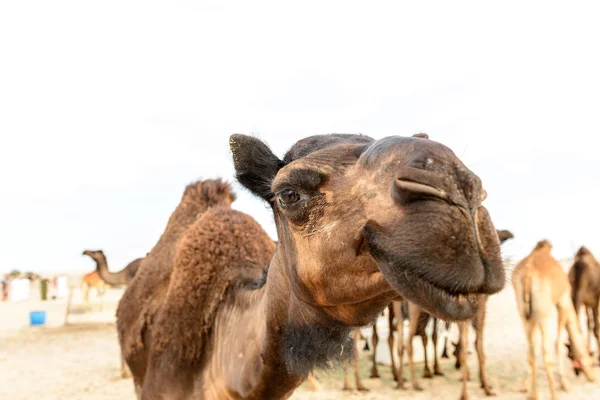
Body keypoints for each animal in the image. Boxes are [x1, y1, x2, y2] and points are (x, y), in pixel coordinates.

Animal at [510, 241, 596, 400]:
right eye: (591, 362)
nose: (593, 377)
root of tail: (527, 276)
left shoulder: (532, 316)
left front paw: (525, 386)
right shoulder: (563, 302)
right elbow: (558, 342)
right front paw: (564, 385)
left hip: (524, 312)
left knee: (531, 351)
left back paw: (534, 395)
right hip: (543, 312)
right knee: (546, 351)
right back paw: (553, 394)